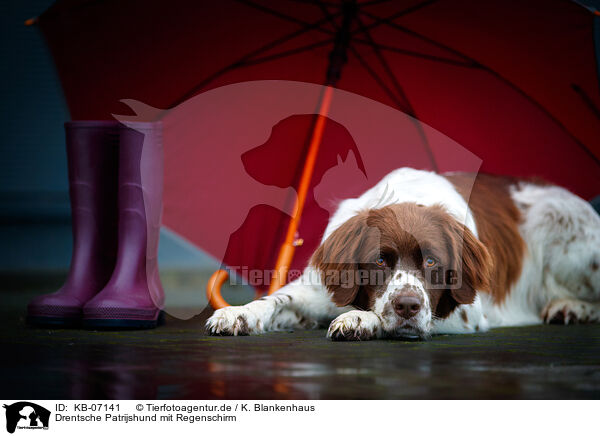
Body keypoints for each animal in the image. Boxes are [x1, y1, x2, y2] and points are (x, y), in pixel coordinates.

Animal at [205, 169, 600, 338]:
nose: (407, 306)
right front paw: (237, 313)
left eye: (432, 261)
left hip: (563, 230)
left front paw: (359, 320)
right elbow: (275, 299)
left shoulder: (468, 312)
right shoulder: (318, 291)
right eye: (380, 260)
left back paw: (572, 307)